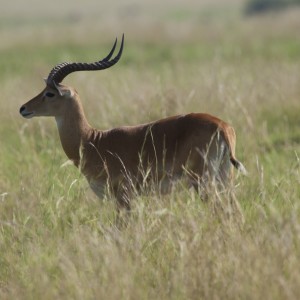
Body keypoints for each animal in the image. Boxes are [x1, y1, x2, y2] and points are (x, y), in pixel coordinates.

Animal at [19, 34, 247, 209]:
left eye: (50, 93)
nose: (23, 108)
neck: (93, 141)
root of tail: (223, 127)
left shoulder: (124, 197)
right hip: (224, 179)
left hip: (204, 183)